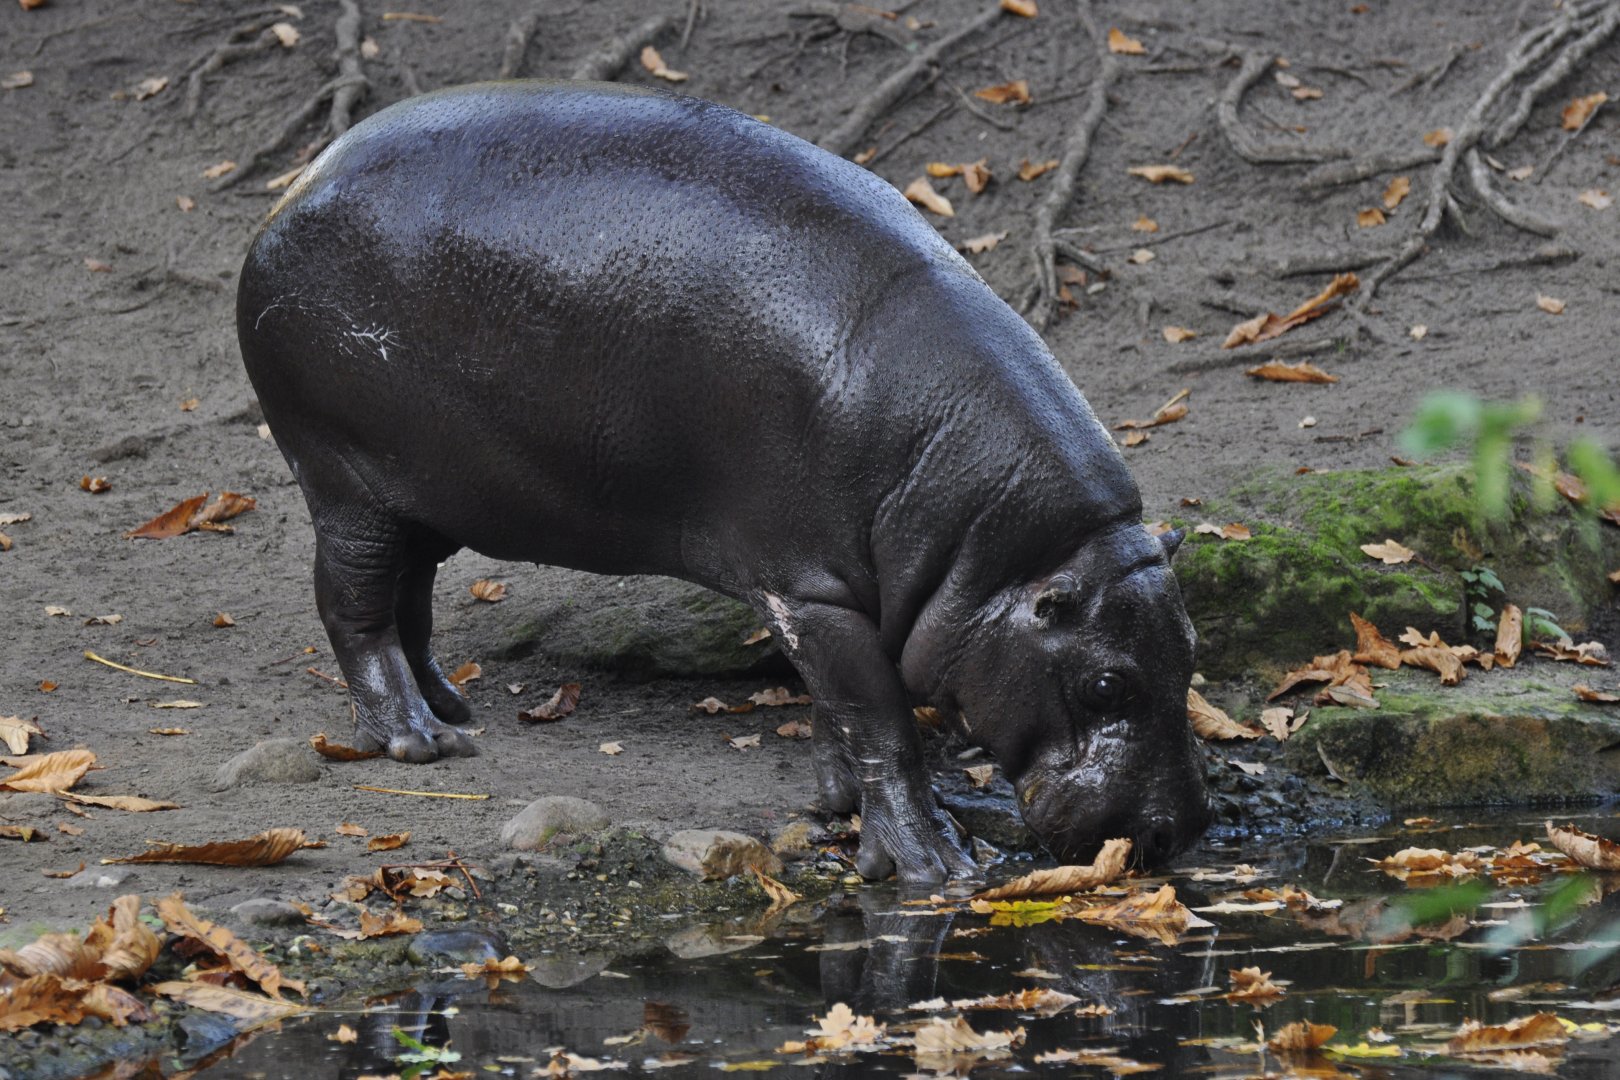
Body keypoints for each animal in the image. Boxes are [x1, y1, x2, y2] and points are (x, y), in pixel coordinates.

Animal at [236, 81, 1211, 883]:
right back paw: (416, 740)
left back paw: (452, 705)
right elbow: (880, 721)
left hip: (432, 496)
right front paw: (931, 864)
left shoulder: (840, 596)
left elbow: (837, 710)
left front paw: (838, 805)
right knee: (355, 606)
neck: (1008, 552)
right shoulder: (810, 589)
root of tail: (300, 178)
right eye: (1106, 686)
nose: (1177, 835)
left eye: (1193, 650)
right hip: (346, 481)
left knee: (412, 595)